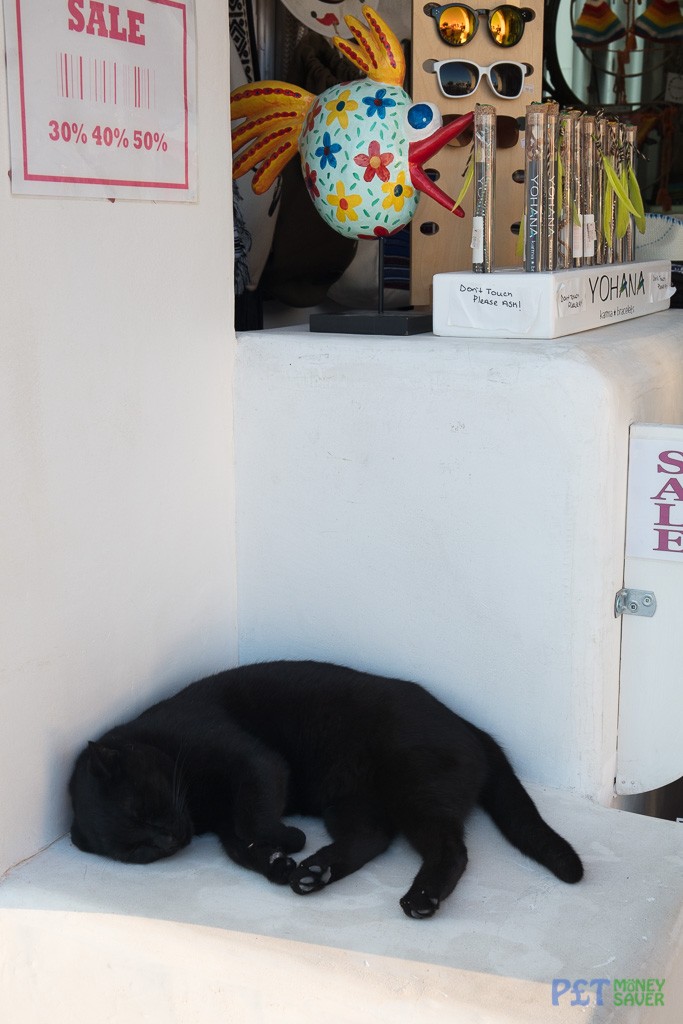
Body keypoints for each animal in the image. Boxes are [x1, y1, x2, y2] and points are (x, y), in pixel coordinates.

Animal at [68, 663, 581, 921]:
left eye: (144, 809)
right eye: (138, 850)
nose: (171, 840)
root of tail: (469, 726)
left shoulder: (254, 762)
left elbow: (252, 817)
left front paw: (288, 841)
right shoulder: (222, 823)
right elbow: (241, 845)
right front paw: (278, 862)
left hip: (415, 791)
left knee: (450, 850)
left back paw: (420, 899)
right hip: (350, 802)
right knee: (375, 837)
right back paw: (315, 872)